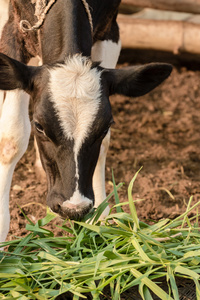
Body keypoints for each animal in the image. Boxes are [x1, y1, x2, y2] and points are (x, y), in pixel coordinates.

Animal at [0, 0, 172, 246]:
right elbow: (11, 140)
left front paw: (100, 217)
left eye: (106, 126)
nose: (73, 208)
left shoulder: (110, 30)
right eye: (39, 126)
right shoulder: (13, 33)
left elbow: (105, 145)